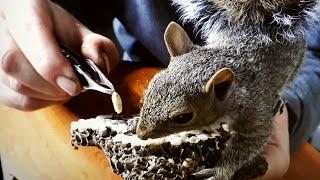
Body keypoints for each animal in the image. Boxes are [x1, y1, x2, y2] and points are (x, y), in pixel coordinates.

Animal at [136, 0, 320, 179]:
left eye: (182, 117)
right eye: (150, 89)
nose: (140, 134)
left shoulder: (255, 112)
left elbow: (251, 140)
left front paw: (219, 171)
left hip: (295, 65)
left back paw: (278, 100)